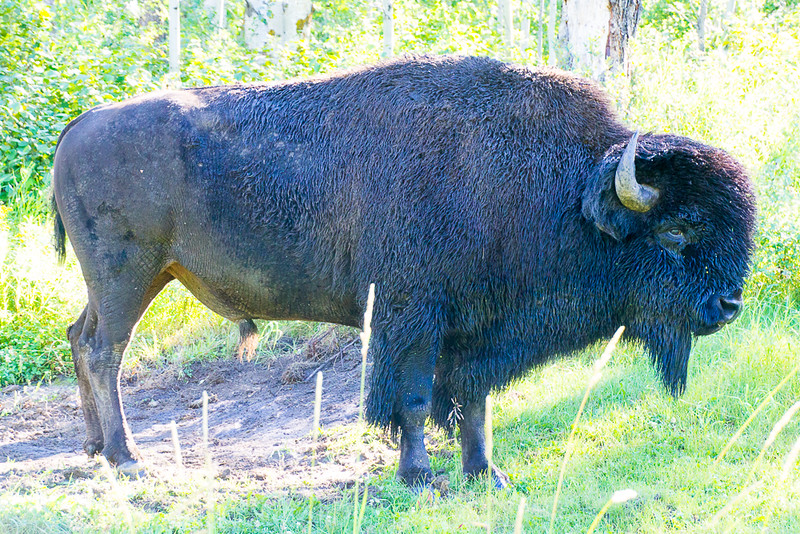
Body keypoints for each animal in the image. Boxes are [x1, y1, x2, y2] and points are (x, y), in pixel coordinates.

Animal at [51, 55, 756, 490]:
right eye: (676, 232)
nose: (728, 306)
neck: (565, 190)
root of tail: (76, 126)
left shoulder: (473, 330)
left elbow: (472, 401)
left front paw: (486, 473)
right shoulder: (410, 316)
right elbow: (414, 398)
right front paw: (418, 476)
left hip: (135, 279)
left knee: (77, 337)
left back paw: (93, 448)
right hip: (127, 276)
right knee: (104, 350)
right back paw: (127, 458)